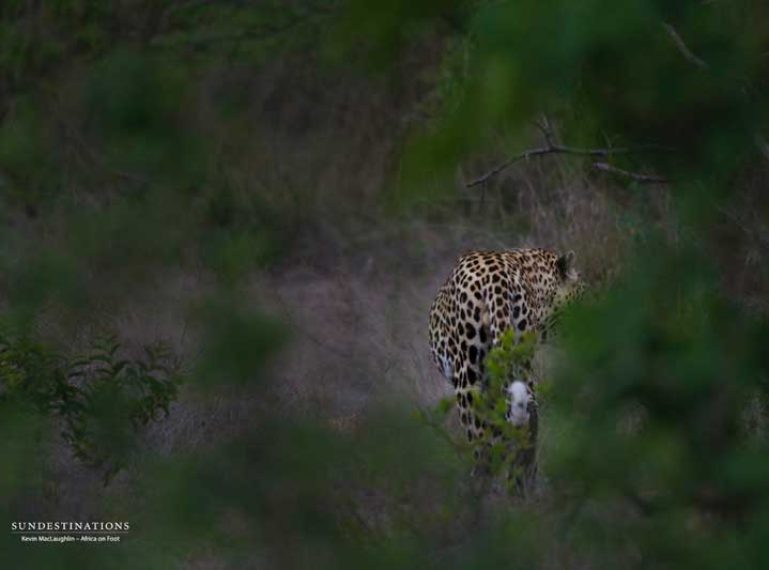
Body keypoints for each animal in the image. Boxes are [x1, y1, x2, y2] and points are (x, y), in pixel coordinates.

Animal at [428, 246, 584, 490]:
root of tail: (497, 280)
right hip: (519, 365)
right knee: (527, 423)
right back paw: (522, 488)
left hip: (468, 379)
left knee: (482, 446)